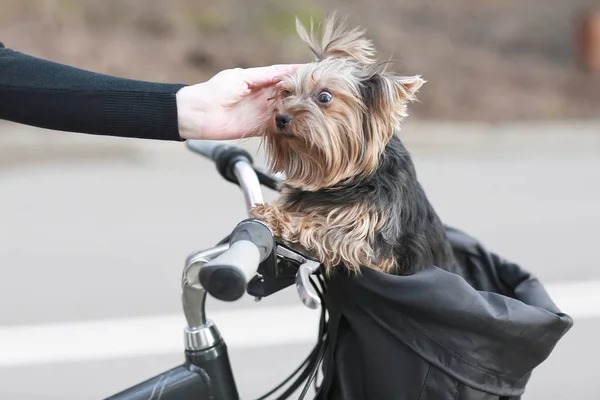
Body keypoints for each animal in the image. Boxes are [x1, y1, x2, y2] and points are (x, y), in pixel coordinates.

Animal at [251, 14, 458, 276]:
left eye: (325, 97)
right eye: (286, 92)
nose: (281, 117)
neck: (349, 178)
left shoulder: (369, 243)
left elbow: (328, 229)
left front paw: (276, 216)